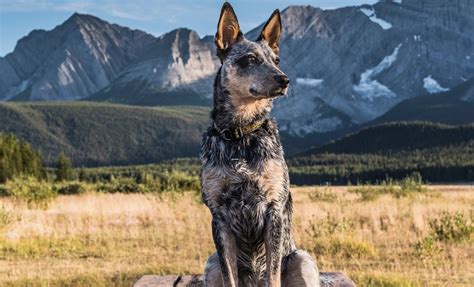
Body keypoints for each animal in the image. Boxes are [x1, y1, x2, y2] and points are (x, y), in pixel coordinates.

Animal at [202, 2, 320, 287]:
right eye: (250, 60)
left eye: (276, 60)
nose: (284, 79)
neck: (241, 135)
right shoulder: (219, 217)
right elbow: (230, 274)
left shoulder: (273, 209)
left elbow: (273, 272)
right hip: (210, 264)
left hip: (302, 259)